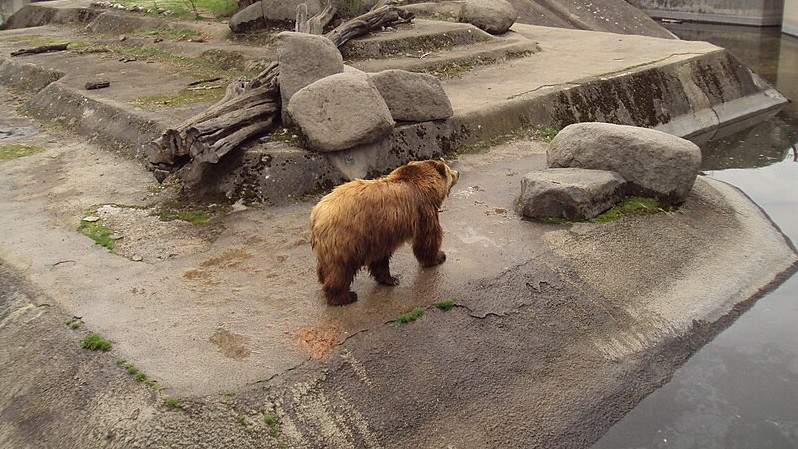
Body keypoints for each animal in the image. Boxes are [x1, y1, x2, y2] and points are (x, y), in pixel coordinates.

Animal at [312, 159, 462, 306]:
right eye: (449, 170)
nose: (458, 173)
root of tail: (317, 213)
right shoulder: (423, 210)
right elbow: (428, 238)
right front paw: (439, 257)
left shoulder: (380, 234)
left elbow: (380, 258)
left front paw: (390, 279)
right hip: (346, 237)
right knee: (340, 268)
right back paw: (344, 296)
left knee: (326, 266)